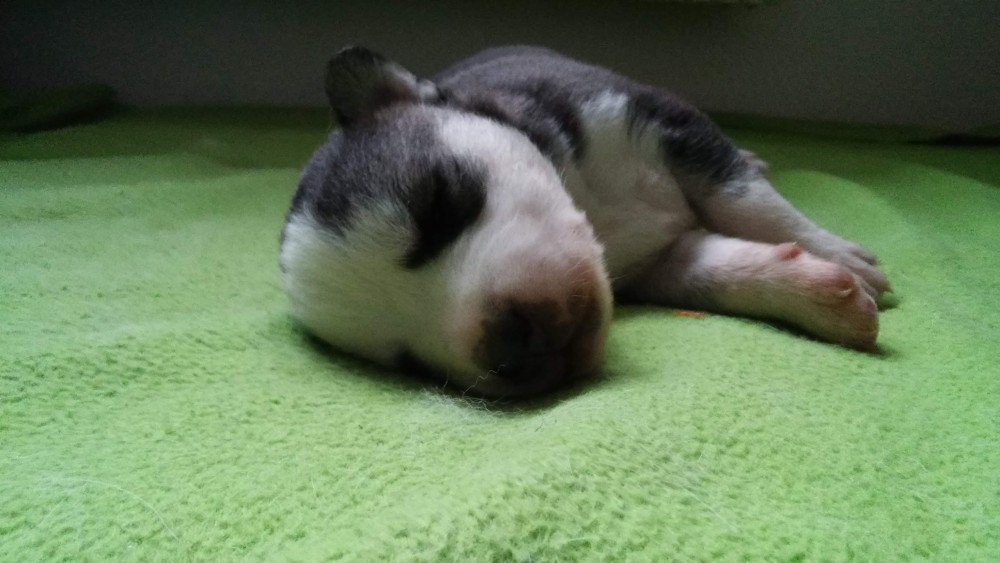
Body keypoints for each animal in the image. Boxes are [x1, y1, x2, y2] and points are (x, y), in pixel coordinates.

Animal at [279, 46, 890, 397]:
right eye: (404, 363)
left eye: (441, 202)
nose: (513, 346)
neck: (593, 208)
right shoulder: (657, 265)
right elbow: (717, 272)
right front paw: (821, 294)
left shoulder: (663, 122)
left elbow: (747, 204)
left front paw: (838, 254)